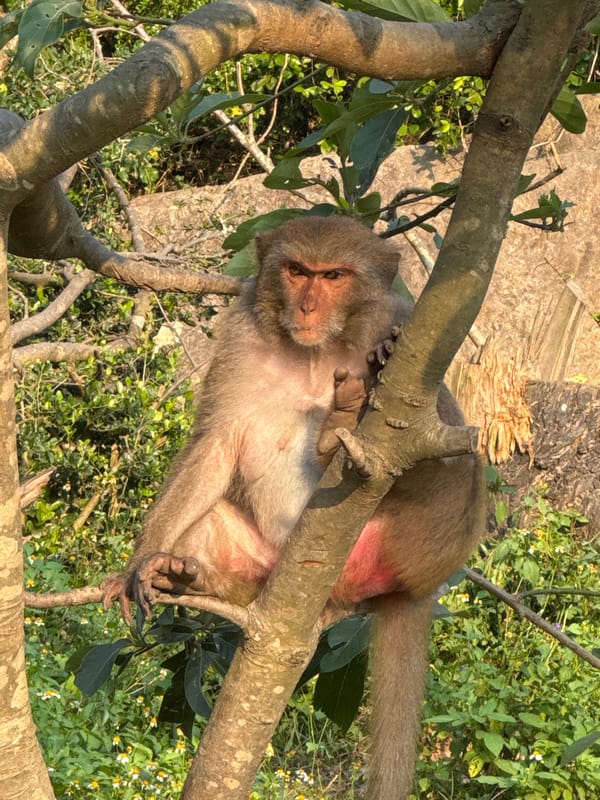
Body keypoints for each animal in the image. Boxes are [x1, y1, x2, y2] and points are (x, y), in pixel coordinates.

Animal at [103, 216, 485, 800]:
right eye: (298, 271)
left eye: (333, 276)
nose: (306, 306)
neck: (313, 353)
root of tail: (413, 588)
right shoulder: (239, 338)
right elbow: (216, 445)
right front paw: (140, 562)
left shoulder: (413, 333)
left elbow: (443, 423)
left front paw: (381, 357)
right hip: (266, 566)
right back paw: (183, 575)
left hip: (412, 543)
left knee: (457, 465)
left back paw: (341, 432)